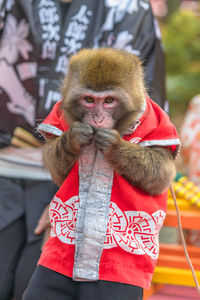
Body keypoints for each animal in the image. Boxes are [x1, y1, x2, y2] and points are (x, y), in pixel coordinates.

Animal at [42, 47, 177, 195]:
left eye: (109, 100)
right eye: (89, 99)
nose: (98, 119)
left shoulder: (158, 122)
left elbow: (162, 172)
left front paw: (114, 145)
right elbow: (56, 169)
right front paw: (74, 136)